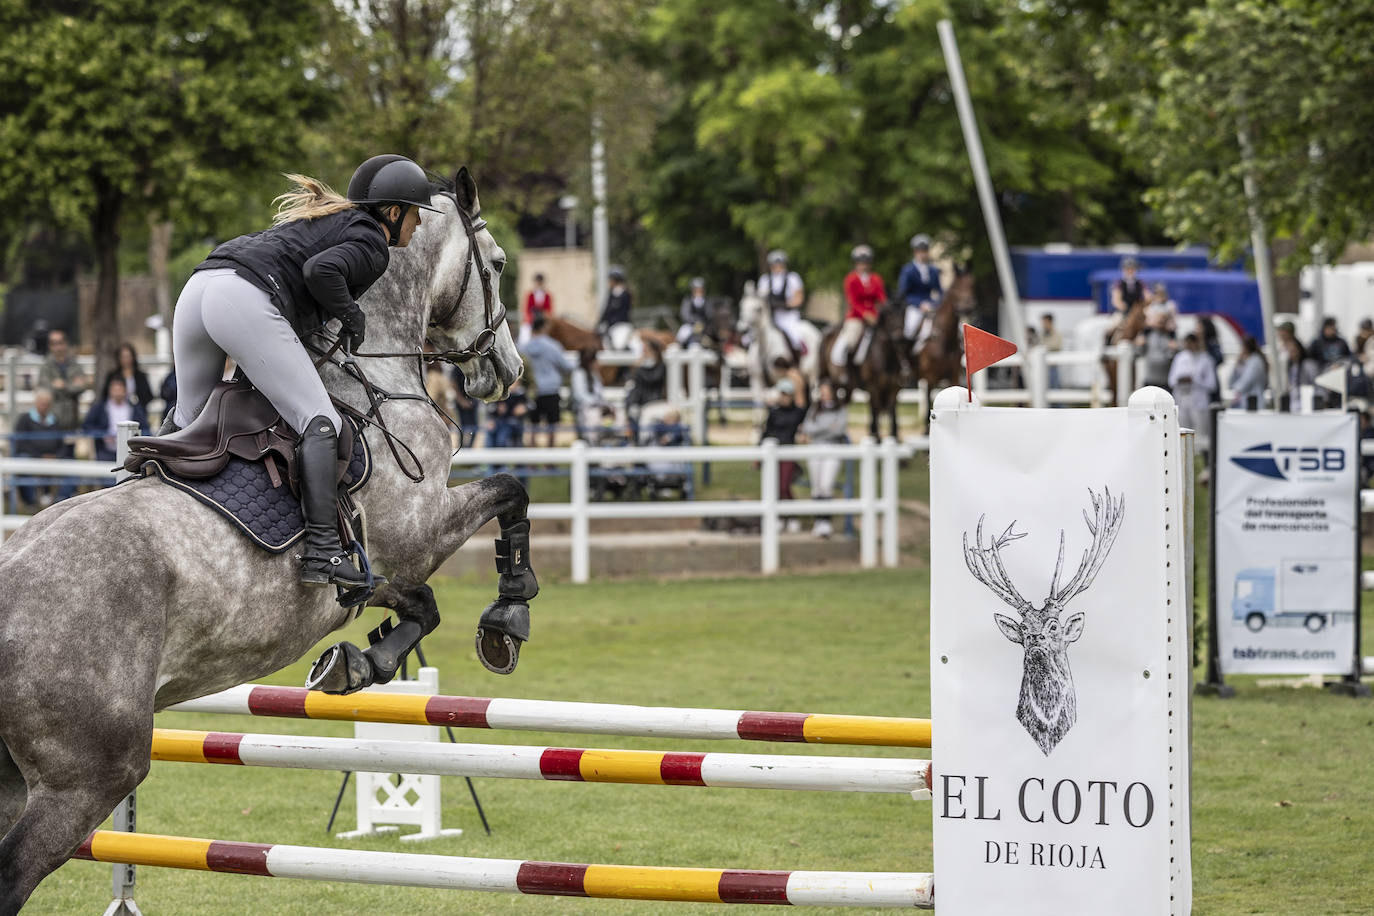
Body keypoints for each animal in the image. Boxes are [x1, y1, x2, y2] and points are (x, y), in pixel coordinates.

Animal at [0, 170, 524, 911]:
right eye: (499, 265)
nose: (507, 370)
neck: (375, 379)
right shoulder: (419, 530)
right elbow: (510, 492)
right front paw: (508, 618)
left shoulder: (381, 570)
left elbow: (419, 608)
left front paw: (355, 665)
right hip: (86, 777)